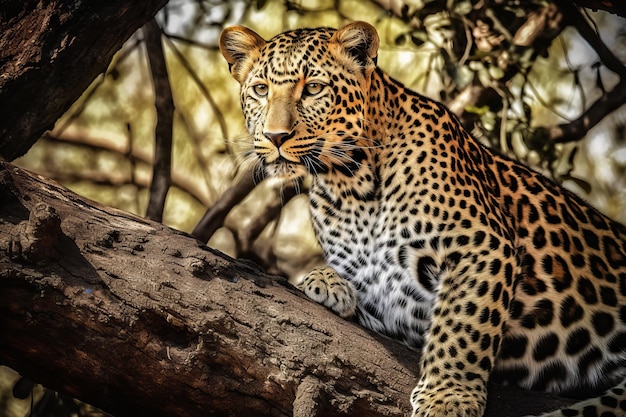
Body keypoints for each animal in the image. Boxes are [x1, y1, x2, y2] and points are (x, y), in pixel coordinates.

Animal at [218, 20, 624, 416]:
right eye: (260, 89)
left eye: (314, 88)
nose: (275, 136)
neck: (350, 183)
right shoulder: (389, 299)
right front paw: (325, 282)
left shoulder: (482, 246)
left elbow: (463, 326)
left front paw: (449, 398)